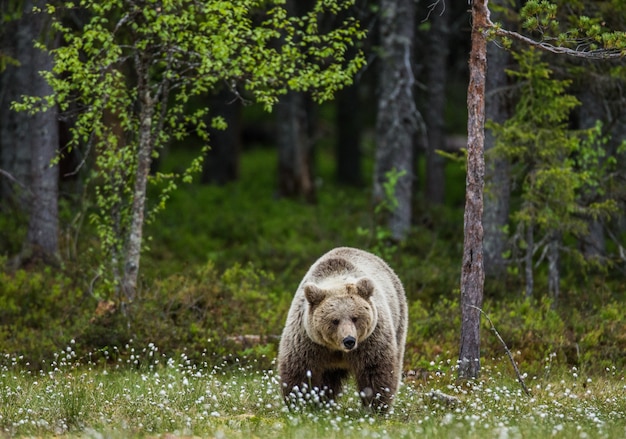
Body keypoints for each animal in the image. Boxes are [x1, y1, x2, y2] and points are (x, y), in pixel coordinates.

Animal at [276, 248, 404, 412]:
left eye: (355, 318)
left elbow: (375, 369)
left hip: (398, 319)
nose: (349, 340)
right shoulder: (308, 341)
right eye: (335, 320)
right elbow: (300, 370)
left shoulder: (371, 340)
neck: (336, 349)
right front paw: (300, 403)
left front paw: (375, 406)